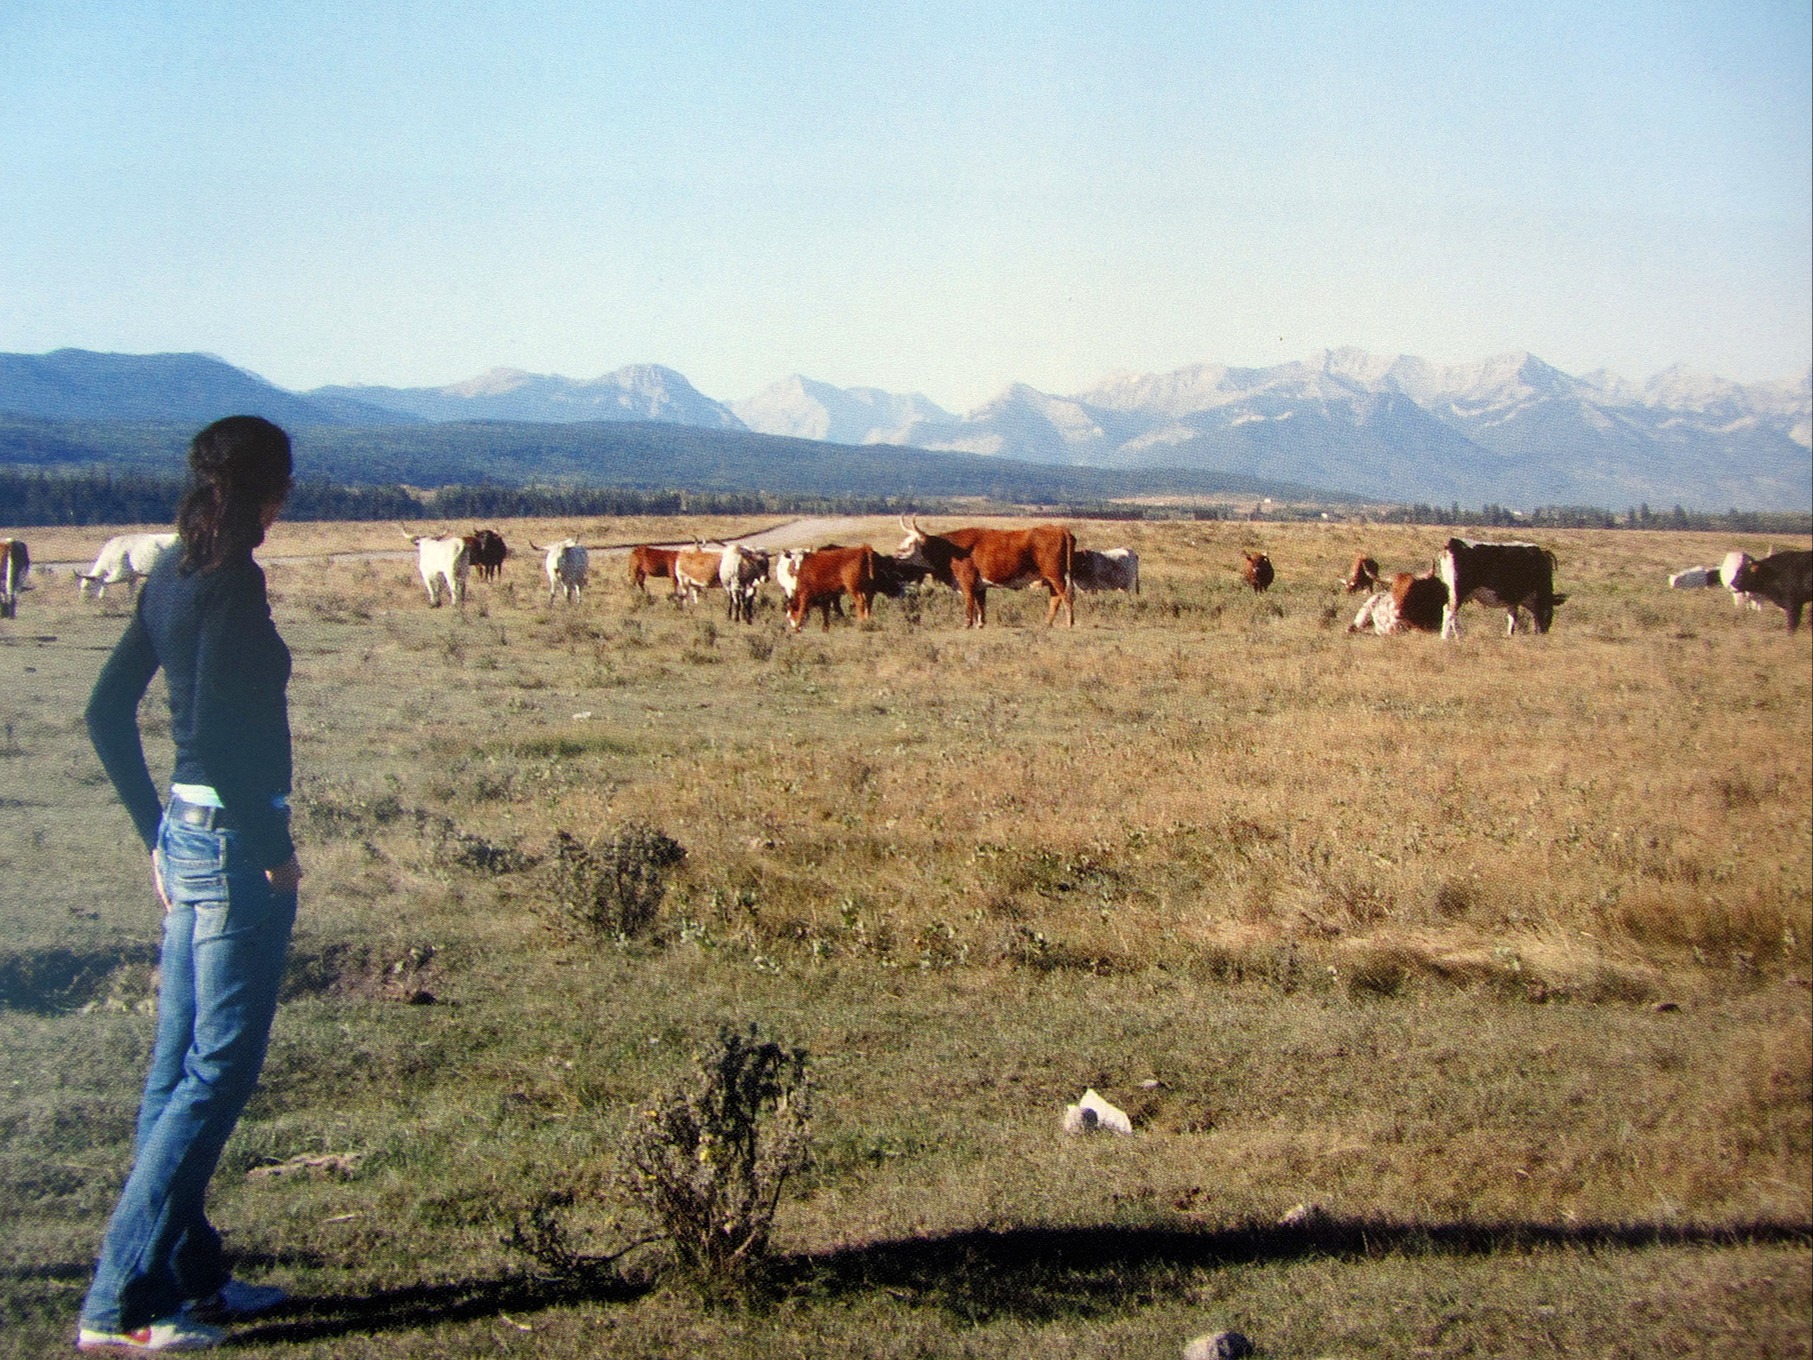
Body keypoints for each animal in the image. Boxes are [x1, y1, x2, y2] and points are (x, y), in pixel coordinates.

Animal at [891, 518, 1073, 631]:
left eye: (910, 543)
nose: (896, 554)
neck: (951, 550)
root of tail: (1058, 528)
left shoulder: (966, 582)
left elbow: (970, 603)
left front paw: (967, 624)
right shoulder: (980, 586)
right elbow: (980, 605)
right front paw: (980, 624)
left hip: (1056, 575)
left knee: (1065, 596)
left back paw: (1070, 622)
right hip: (1051, 578)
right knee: (1055, 598)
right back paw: (1048, 623)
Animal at [1435, 536, 1566, 638]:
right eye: (1550, 612)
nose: (1544, 632)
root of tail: (1453, 543)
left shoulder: (1513, 599)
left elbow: (1512, 617)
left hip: (1452, 591)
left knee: (1449, 612)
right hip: (1458, 591)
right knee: (1450, 612)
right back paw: (1449, 638)